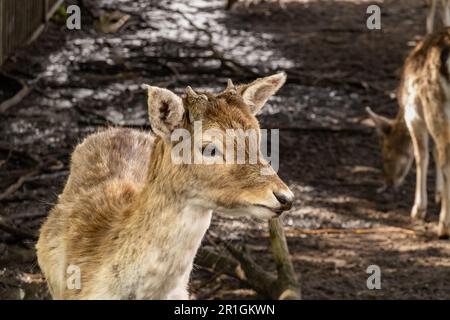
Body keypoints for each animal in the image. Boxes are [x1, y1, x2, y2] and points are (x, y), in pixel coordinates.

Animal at [368, 28, 450, 239]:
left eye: (385, 154)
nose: (388, 182)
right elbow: (434, 153)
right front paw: (438, 195)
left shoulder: (414, 114)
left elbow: (421, 155)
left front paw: (418, 210)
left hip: (435, 109)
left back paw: (443, 226)